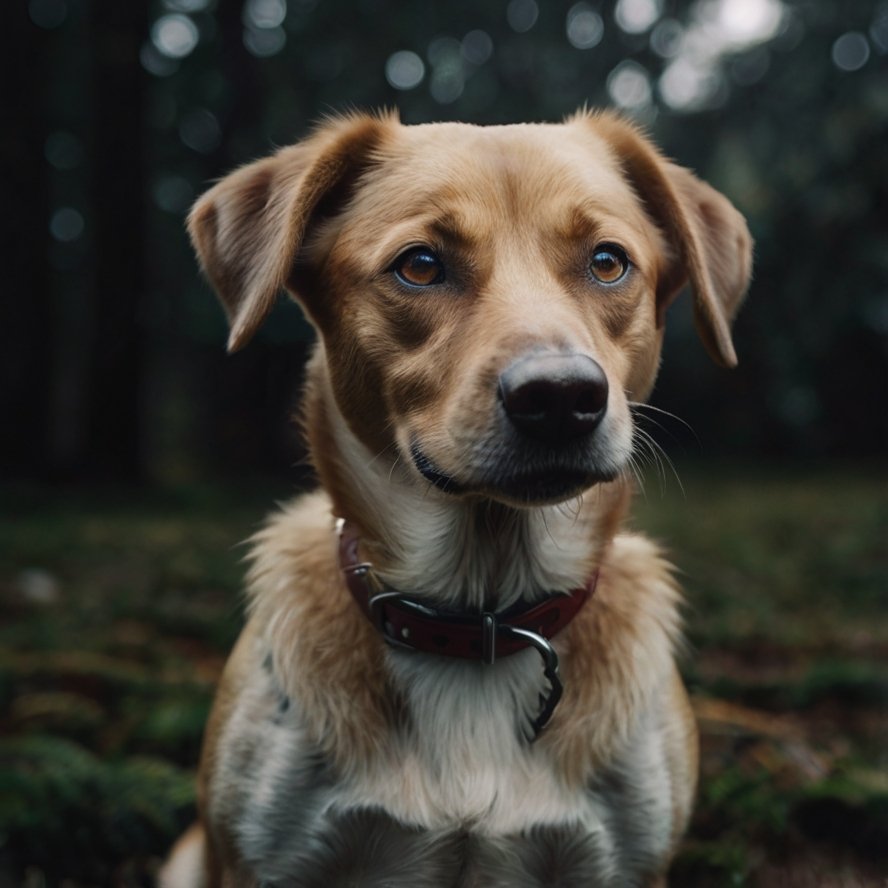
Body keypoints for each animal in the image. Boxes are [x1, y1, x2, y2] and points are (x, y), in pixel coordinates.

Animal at [160, 111, 748, 888]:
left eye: (607, 262)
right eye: (419, 265)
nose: (561, 398)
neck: (480, 617)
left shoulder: (627, 865)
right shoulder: (259, 862)